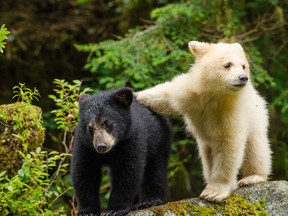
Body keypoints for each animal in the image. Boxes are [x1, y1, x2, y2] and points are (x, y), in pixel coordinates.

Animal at [136, 40, 272, 202]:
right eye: (228, 64)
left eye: (243, 66)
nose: (243, 77)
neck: (214, 95)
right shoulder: (191, 93)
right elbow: (165, 95)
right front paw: (135, 95)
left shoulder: (229, 111)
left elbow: (228, 144)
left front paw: (214, 192)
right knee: (207, 156)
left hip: (256, 117)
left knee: (255, 146)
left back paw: (252, 177)